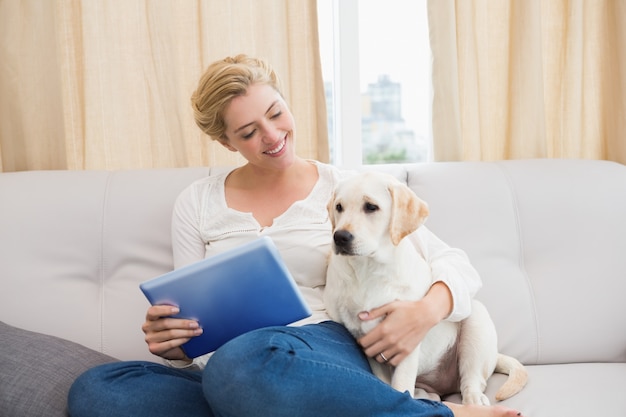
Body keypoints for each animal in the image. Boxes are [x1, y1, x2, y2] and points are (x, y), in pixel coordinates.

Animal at [324, 170, 524, 404]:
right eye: (339, 207)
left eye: (371, 207)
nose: (340, 237)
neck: (367, 269)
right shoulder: (366, 344)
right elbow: (386, 384)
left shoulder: (405, 342)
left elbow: (401, 384)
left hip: (476, 319)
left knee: (472, 379)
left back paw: (474, 399)